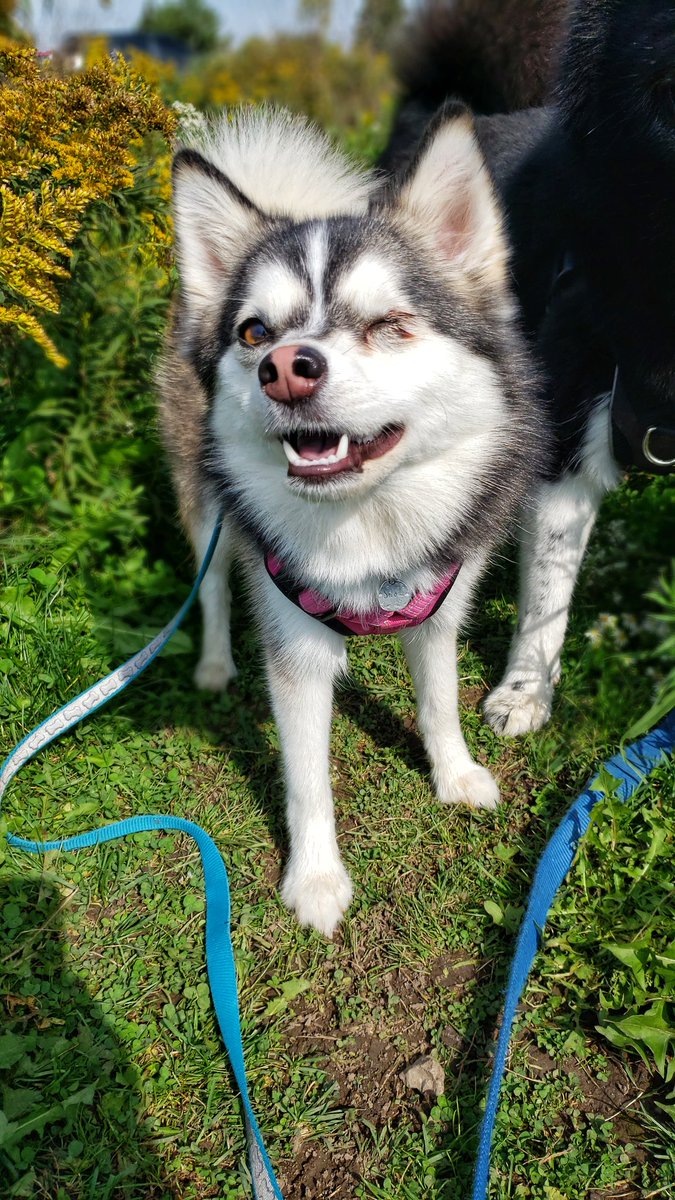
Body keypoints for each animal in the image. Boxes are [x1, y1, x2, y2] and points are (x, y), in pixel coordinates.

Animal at [159, 105, 542, 936]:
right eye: (254, 334)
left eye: (388, 323)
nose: (286, 369)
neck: (367, 525)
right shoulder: (294, 648)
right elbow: (307, 779)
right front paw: (315, 879)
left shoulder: (439, 606)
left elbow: (438, 700)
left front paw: (454, 773)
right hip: (203, 500)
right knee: (212, 585)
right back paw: (213, 663)